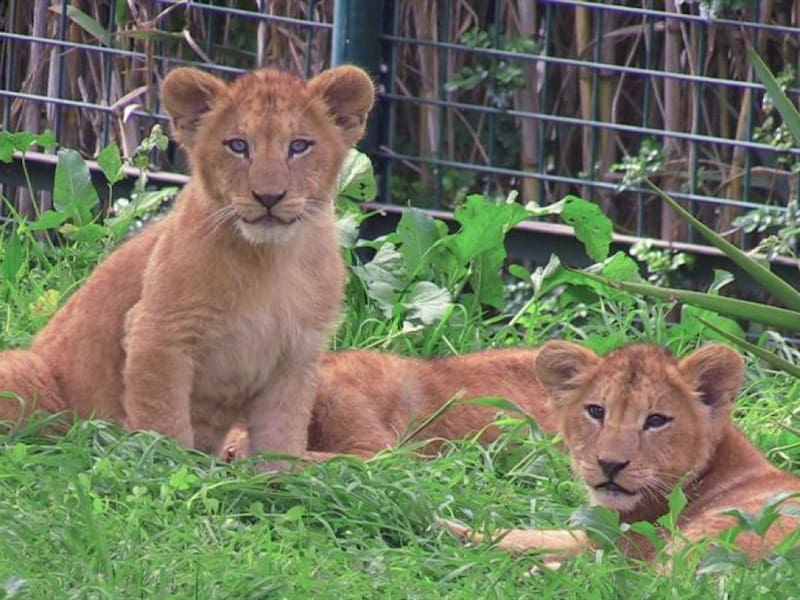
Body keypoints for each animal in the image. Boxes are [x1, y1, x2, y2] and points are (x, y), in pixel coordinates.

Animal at [0, 65, 375, 467]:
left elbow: (282, 434)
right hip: (25, 374)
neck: (271, 259)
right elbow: (164, 421)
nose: (269, 197)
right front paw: (167, 469)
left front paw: (278, 477)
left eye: (299, 146)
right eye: (238, 146)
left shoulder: (297, 356)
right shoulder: (157, 332)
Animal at [441, 341, 800, 565]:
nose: (609, 464)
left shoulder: (615, 542)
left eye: (656, 420)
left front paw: (447, 529)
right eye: (596, 411)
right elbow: (535, 534)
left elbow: (526, 538)